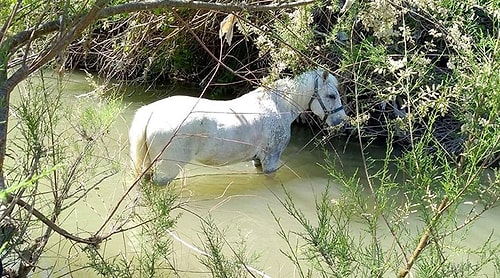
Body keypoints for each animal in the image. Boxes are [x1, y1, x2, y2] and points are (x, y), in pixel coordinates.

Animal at [129, 68, 348, 185]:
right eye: (331, 95)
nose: (342, 121)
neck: (278, 105)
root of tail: (152, 112)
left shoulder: (258, 161)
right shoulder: (271, 160)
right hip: (166, 171)